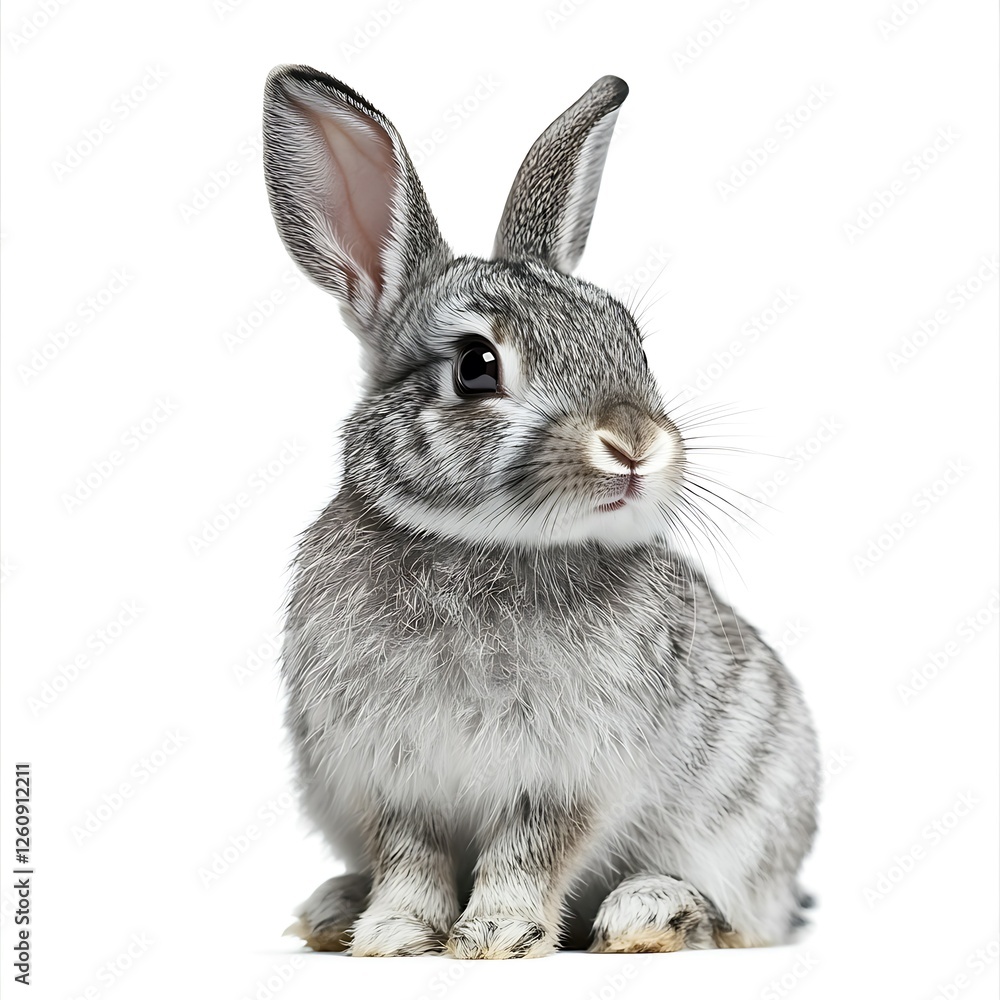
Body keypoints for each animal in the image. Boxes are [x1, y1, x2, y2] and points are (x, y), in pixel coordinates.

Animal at [263, 65, 819, 959]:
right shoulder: (390, 776)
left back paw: (650, 912)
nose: (634, 443)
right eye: (476, 366)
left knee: (741, 919)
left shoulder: (564, 776)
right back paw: (334, 909)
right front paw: (394, 933)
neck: (485, 546)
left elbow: (529, 852)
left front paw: (494, 936)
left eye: (630, 340)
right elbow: (410, 857)